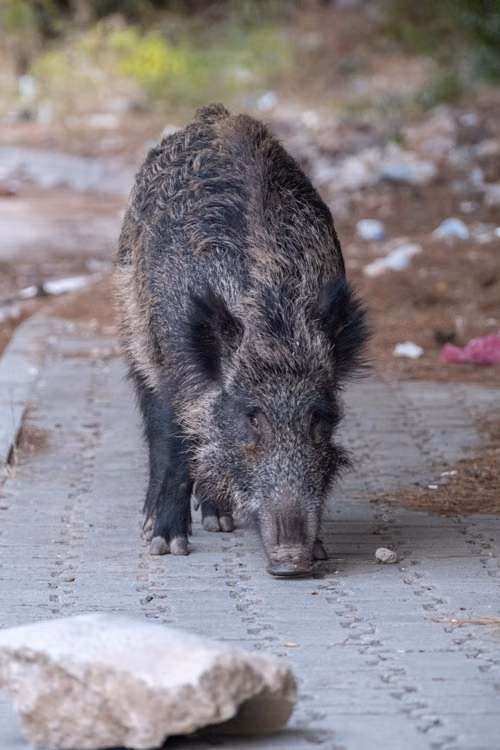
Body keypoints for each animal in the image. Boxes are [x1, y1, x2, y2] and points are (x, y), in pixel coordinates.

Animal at [113, 103, 369, 577]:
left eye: (318, 418)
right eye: (253, 417)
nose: (292, 560)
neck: (275, 324)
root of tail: (212, 114)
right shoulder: (172, 360)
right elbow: (175, 443)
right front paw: (166, 546)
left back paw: (218, 519)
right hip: (134, 326)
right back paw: (157, 524)